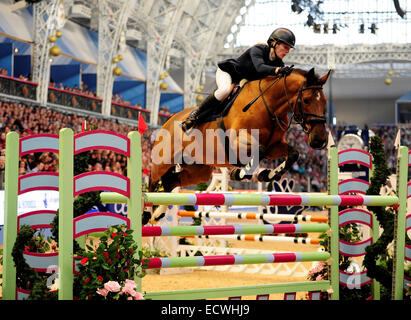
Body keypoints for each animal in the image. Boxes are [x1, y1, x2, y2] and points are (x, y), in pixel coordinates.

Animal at [145, 67, 332, 225]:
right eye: (306, 100)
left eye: (324, 102)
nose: (319, 140)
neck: (269, 105)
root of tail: (169, 119)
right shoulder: (237, 141)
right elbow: (259, 150)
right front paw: (240, 172)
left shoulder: (274, 145)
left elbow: (293, 154)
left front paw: (267, 174)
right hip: (163, 161)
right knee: (153, 181)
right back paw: (146, 214)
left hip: (198, 170)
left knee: (171, 182)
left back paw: (158, 213)